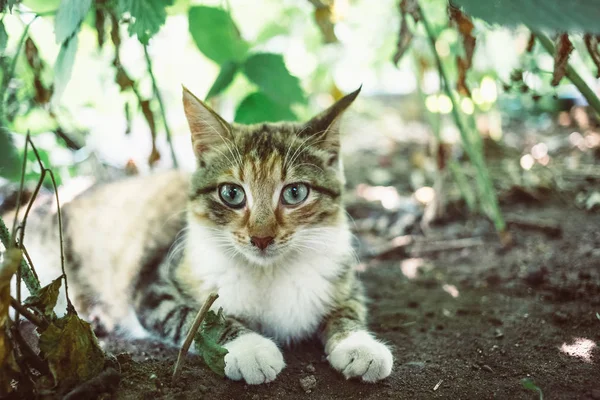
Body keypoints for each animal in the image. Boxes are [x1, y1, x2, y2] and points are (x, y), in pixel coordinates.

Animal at [8, 86, 398, 384]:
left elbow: (349, 307)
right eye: (231, 194)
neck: (268, 272)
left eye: (295, 193)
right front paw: (250, 348)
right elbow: (196, 320)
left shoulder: (341, 276)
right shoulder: (154, 288)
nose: (261, 238)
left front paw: (358, 345)